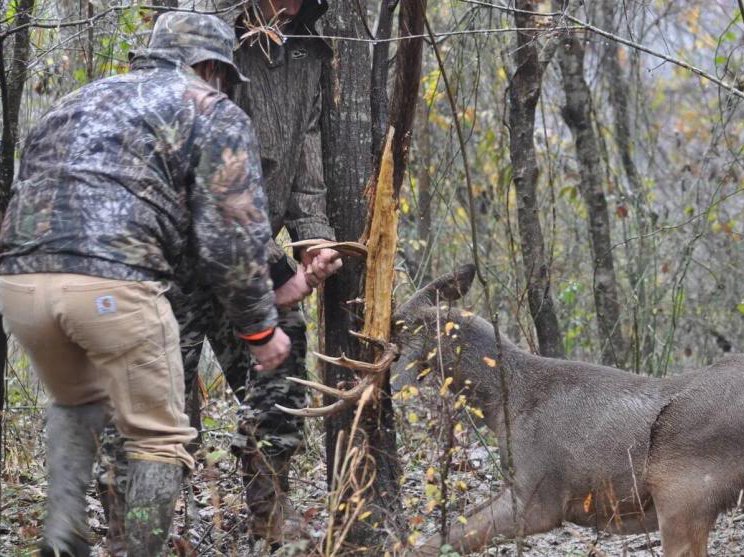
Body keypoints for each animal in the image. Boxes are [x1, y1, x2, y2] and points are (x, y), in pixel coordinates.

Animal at [279, 263, 744, 557]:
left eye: (403, 327)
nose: (379, 318)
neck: (505, 403)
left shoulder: (539, 492)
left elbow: (442, 539)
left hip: (682, 488)